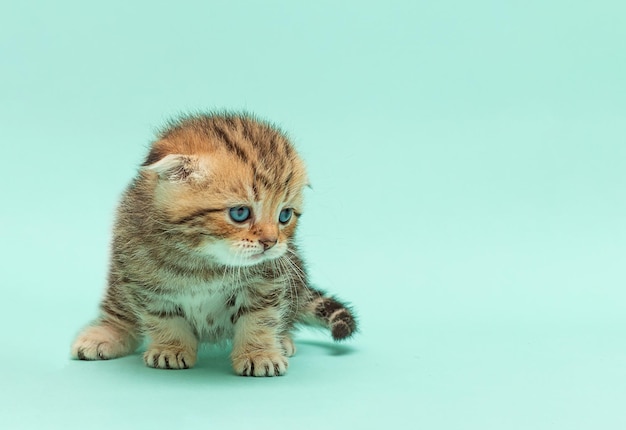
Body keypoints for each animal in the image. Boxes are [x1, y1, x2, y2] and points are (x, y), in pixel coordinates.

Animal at [71, 111, 356, 376]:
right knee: (120, 311)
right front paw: (171, 348)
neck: (204, 262)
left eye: (284, 215)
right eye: (240, 213)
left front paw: (259, 353)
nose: (271, 241)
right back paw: (105, 334)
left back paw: (282, 339)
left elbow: (261, 317)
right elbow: (163, 317)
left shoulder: (268, 280)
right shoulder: (143, 277)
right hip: (119, 280)